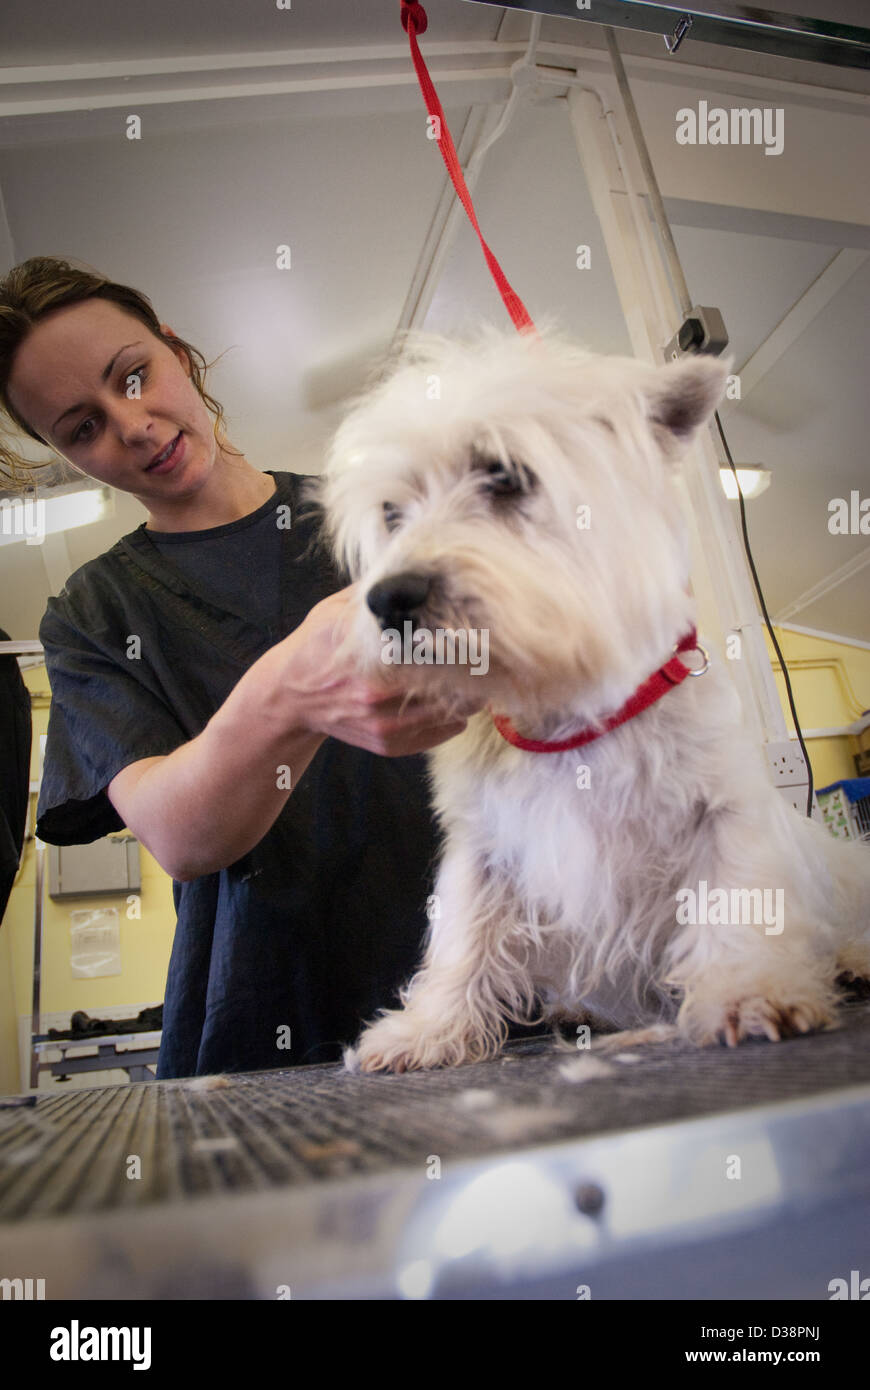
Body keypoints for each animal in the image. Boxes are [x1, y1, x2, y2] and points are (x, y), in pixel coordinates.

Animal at [311, 325, 867, 1073]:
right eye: (391, 512)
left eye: (504, 476)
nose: (387, 600)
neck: (566, 712)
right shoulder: (485, 850)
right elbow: (464, 937)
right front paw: (430, 1028)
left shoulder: (723, 811)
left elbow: (738, 899)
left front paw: (748, 991)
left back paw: (854, 961)